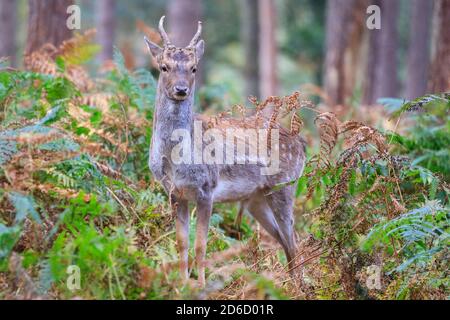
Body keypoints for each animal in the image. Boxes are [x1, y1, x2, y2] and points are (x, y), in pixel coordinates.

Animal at [144, 16, 306, 286]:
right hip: (257, 199)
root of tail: (302, 144)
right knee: (284, 239)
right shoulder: (174, 193)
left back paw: (296, 286)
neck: (175, 160)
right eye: (164, 66)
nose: (181, 89)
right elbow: (181, 243)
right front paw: (181, 285)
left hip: (285, 186)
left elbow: (201, 245)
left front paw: (200, 285)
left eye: (194, 68)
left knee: (293, 238)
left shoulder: (207, 189)